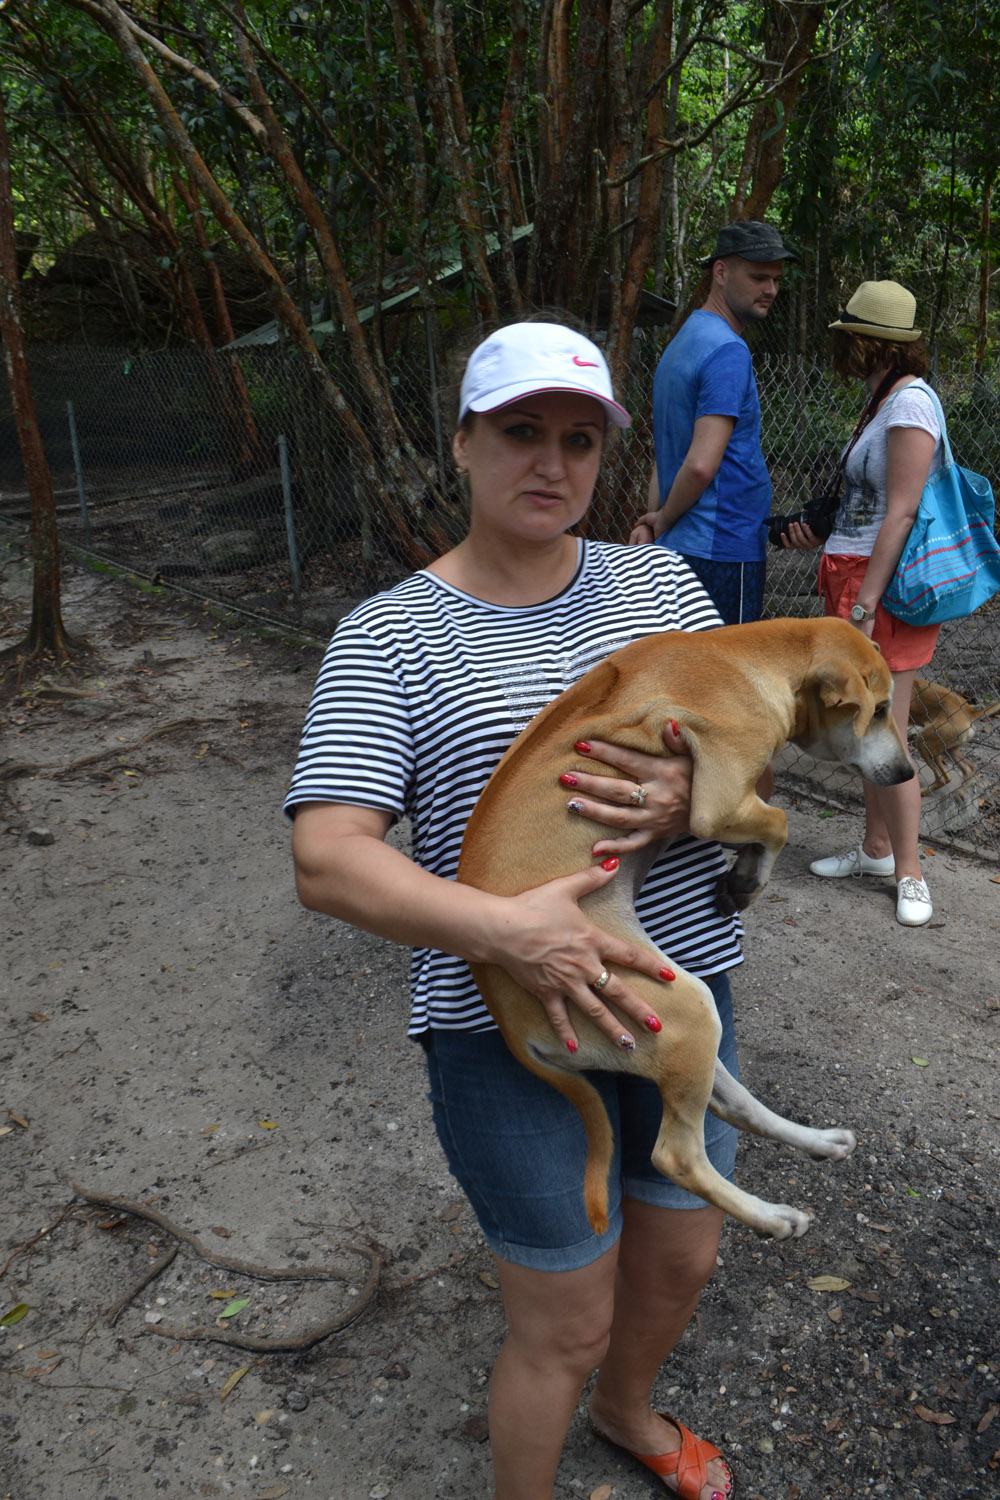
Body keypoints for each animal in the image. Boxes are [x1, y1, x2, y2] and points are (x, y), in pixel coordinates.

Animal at [458, 615, 917, 1236]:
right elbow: (779, 819)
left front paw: (742, 875)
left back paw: (817, 1142)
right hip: (683, 1010)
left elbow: (769, 822)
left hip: (684, 1021)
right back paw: (772, 1217)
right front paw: (749, 878)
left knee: (734, 1104)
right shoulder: (717, 804)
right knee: (675, 1155)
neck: (748, 657)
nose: (908, 772)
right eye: (882, 708)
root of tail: (507, 1020)